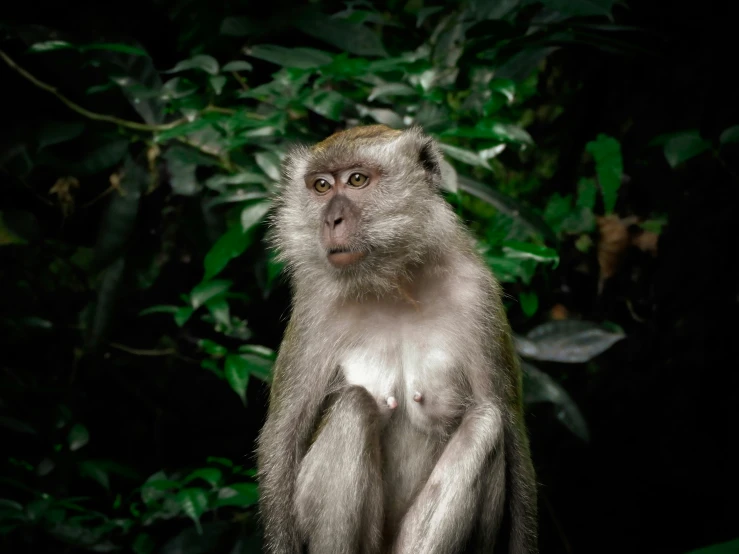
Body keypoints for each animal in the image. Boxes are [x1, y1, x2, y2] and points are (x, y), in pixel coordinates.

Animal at [256, 125, 536, 552]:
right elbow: (284, 435)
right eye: (321, 186)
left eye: (357, 180)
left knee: (487, 423)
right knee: (355, 406)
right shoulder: (314, 304)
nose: (332, 219)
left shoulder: (478, 294)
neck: (394, 285)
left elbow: (511, 428)